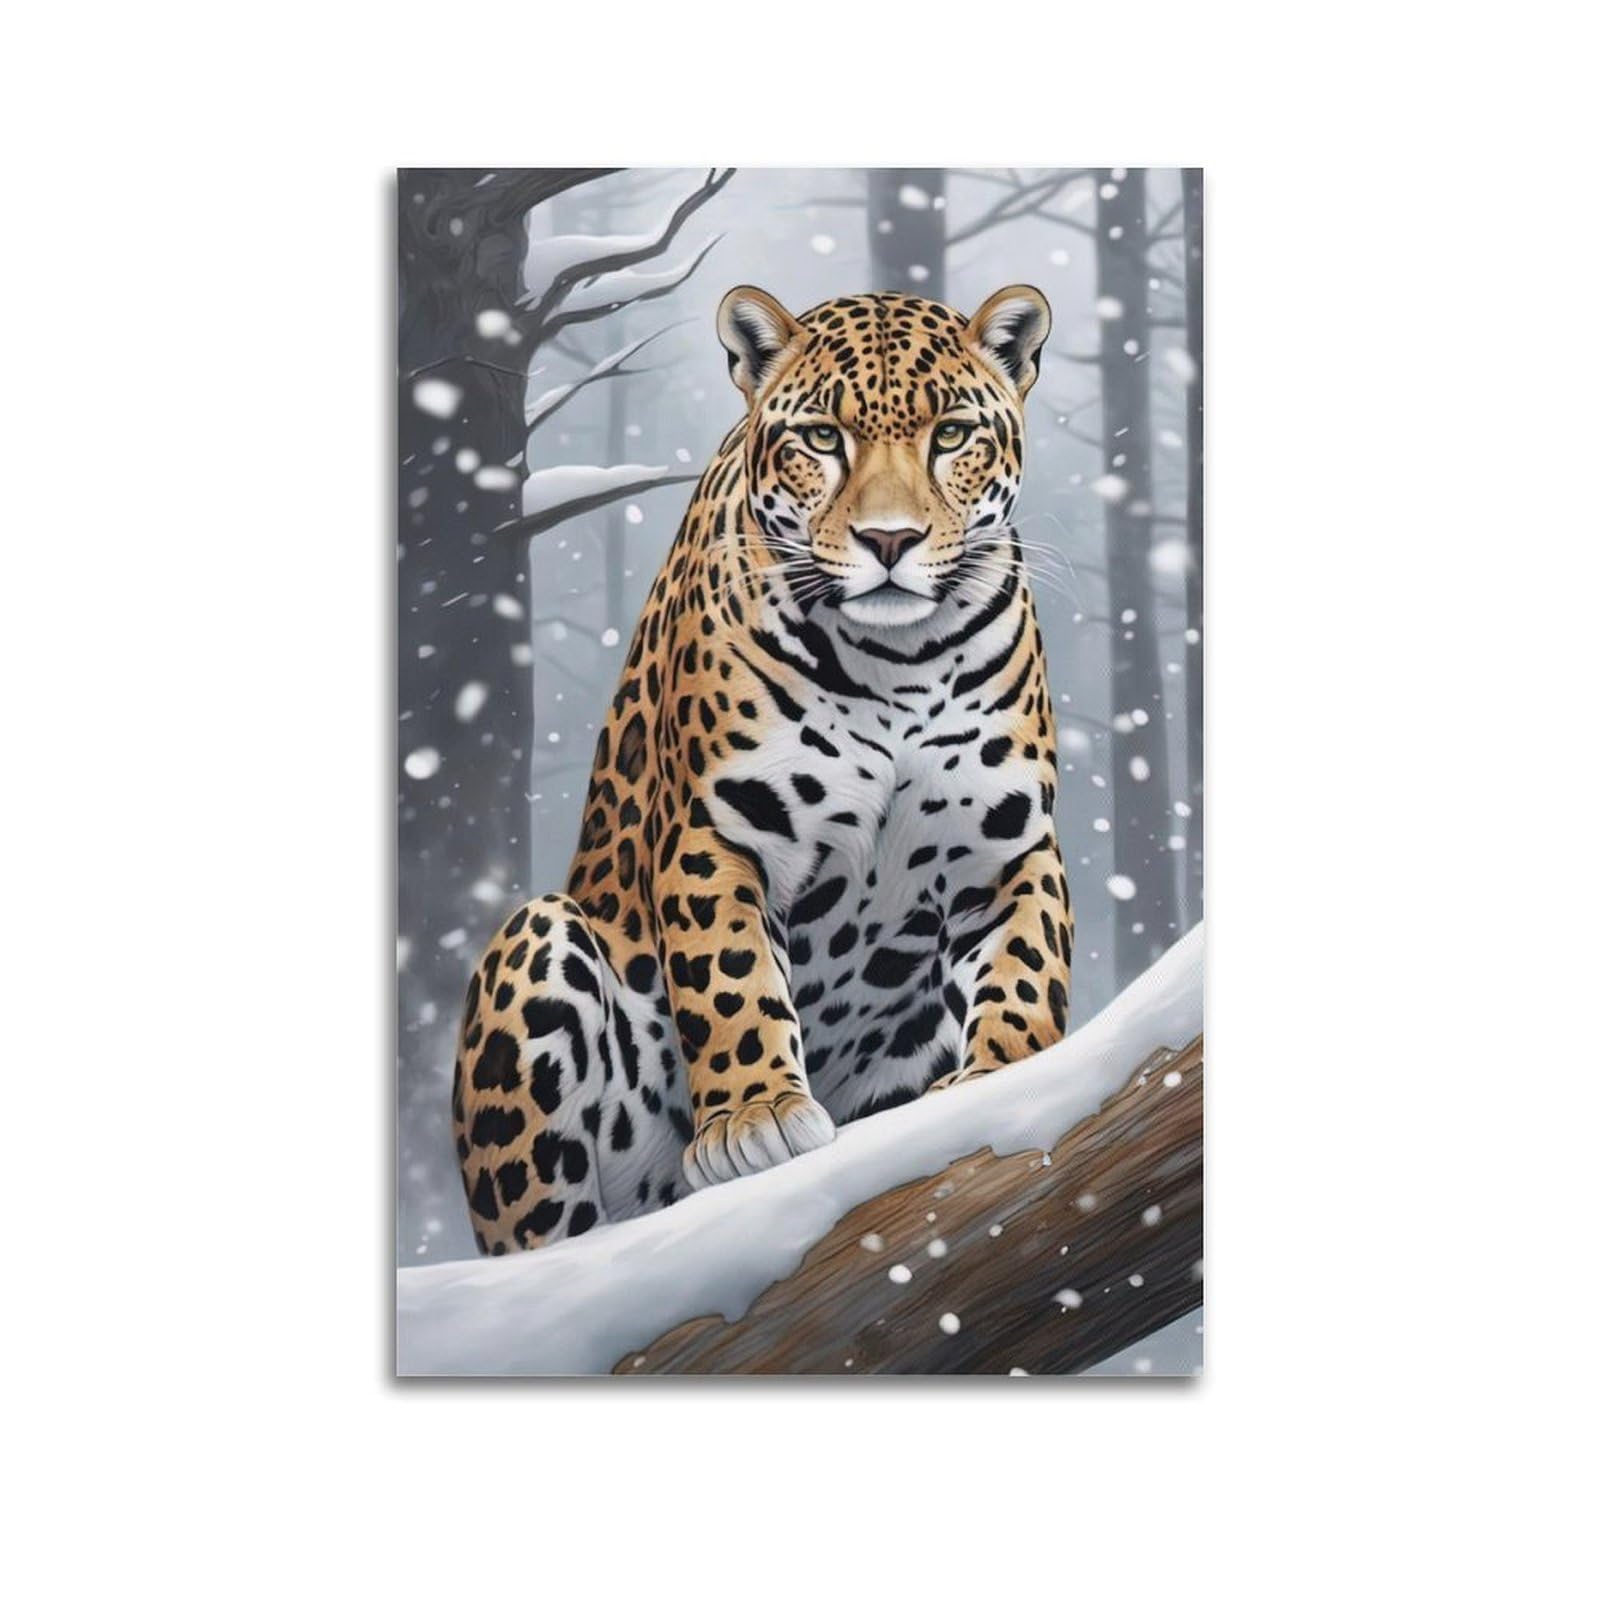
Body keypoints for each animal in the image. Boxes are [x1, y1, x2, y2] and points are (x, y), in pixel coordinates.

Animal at [452, 283, 1074, 1254]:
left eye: (951, 435)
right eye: (821, 438)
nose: (889, 541)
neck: (897, 662)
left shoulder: (1006, 844)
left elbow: (1027, 964)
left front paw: (1002, 1074)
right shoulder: (717, 833)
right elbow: (731, 978)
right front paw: (757, 1116)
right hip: (538, 945)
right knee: (544, 1232)